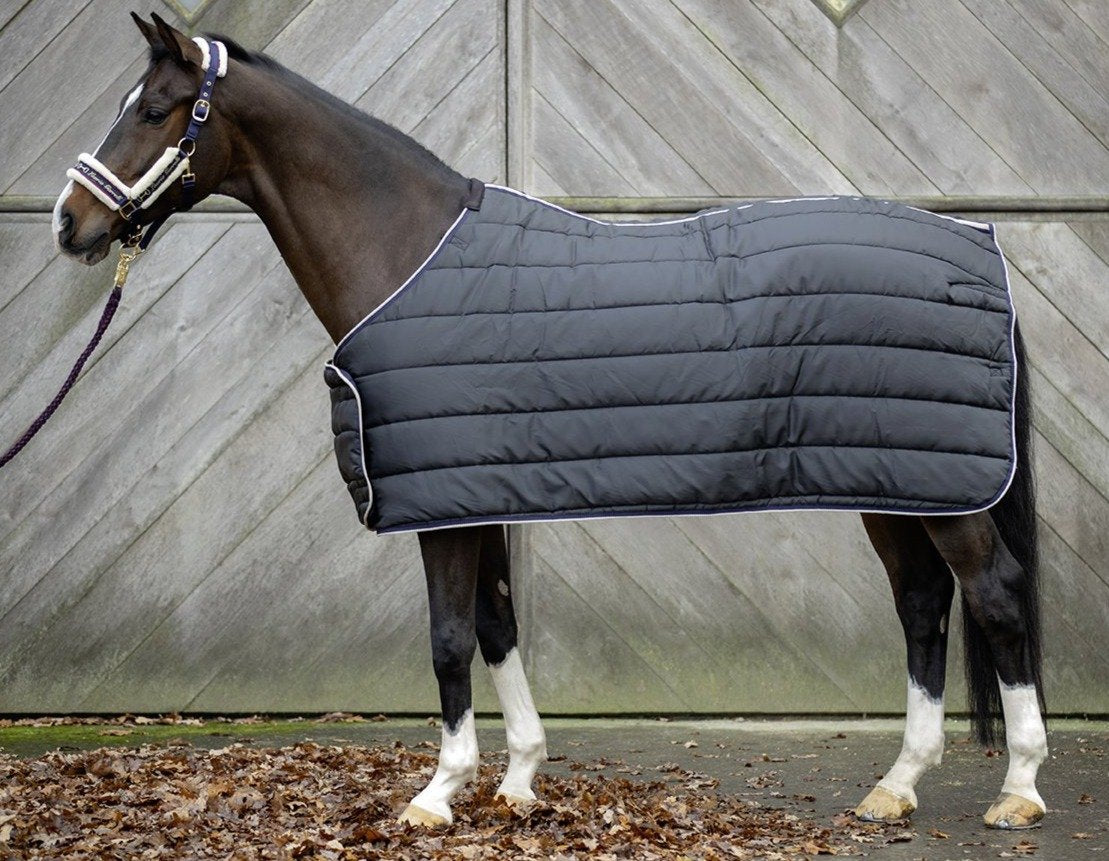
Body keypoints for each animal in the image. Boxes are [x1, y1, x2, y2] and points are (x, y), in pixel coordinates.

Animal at [52, 13, 1048, 832]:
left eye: (152, 110)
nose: (70, 222)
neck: (406, 250)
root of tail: (977, 248)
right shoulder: (474, 493)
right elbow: (497, 623)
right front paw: (519, 779)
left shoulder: (441, 507)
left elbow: (450, 636)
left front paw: (436, 793)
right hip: (894, 478)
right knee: (921, 603)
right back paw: (896, 784)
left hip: (944, 489)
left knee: (994, 592)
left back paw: (1019, 788)